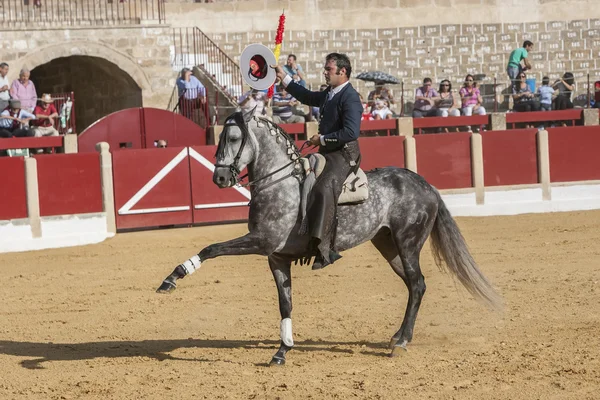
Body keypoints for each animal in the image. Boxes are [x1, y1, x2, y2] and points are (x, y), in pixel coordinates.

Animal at [156, 109, 502, 366]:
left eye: (233, 137)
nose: (220, 177)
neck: (280, 183)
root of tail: (427, 186)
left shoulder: (262, 241)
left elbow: (212, 247)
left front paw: (172, 278)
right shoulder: (276, 257)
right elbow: (285, 303)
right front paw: (282, 350)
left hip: (408, 243)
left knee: (417, 284)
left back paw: (401, 342)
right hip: (388, 245)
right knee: (414, 285)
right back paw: (397, 336)